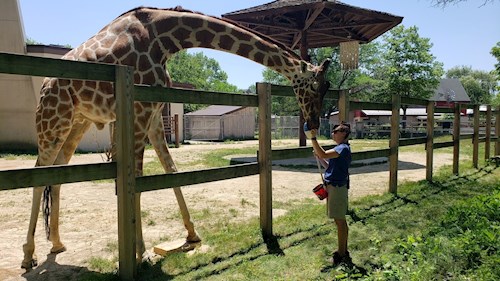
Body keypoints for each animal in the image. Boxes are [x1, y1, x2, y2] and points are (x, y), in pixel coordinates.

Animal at [21, 6, 330, 268]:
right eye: (316, 86)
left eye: (327, 87)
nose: (314, 123)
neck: (166, 39)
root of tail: (45, 85)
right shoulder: (140, 109)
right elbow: (138, 181)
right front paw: (142, 254)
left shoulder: (156, 112)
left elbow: (171, 169)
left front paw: (192, 235)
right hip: (53, 119)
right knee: (38, 172)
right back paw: (28, 256)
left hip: (79, 121)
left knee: (57, 173)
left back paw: (57, 244)